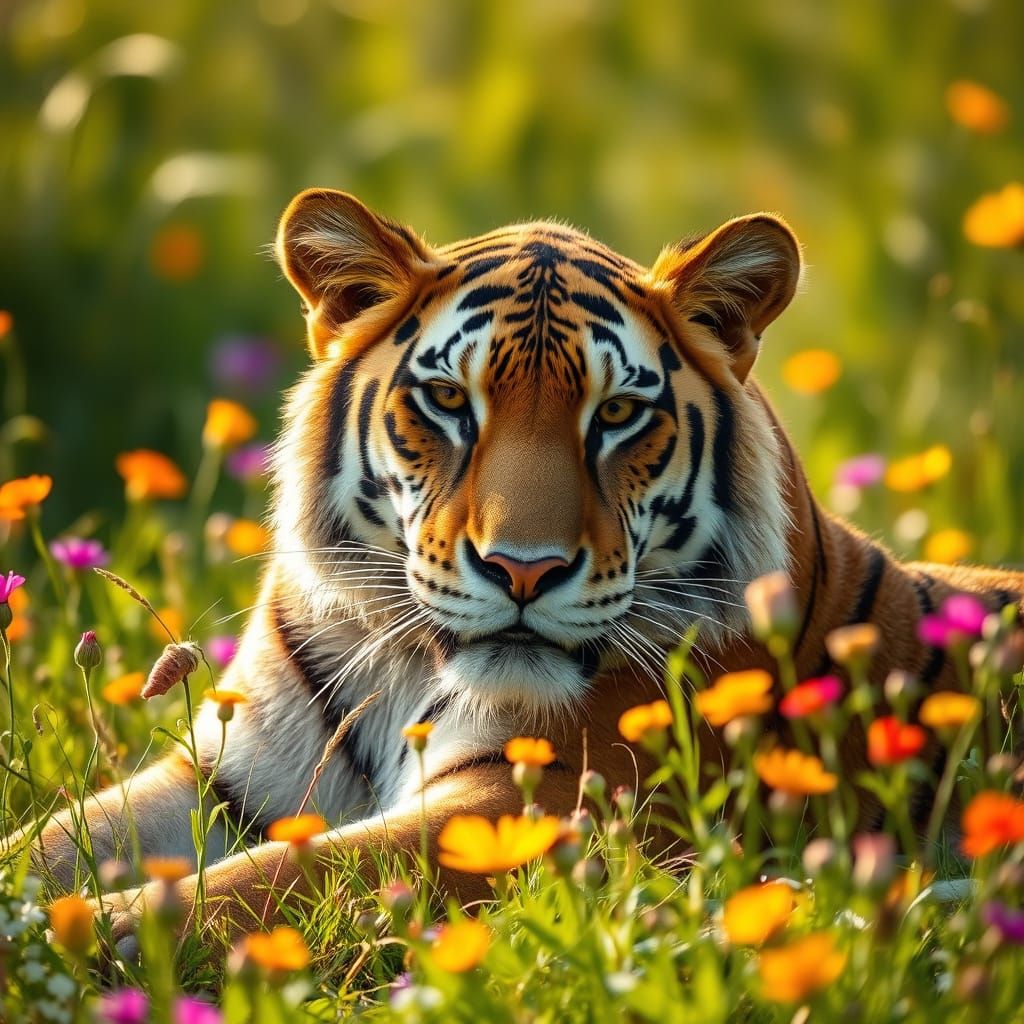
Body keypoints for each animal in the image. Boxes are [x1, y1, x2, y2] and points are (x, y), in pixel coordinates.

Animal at [21, 188, 1024, 952]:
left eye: (616, 413)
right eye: (447, 400)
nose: (523, 570)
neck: (404, 670)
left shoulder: (533, 800)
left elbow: (268, 882)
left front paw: (81, 937)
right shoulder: (229, 770)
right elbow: (57, 839)